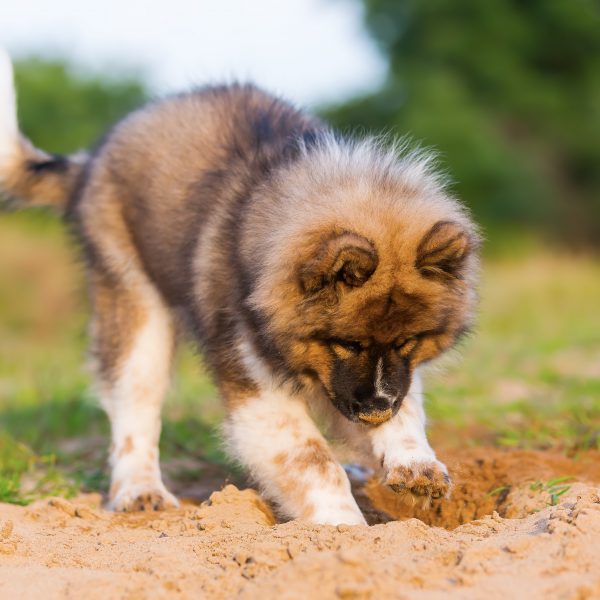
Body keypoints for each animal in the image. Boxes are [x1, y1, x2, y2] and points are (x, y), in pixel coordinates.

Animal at [0, 49, 478, 524]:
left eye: (410, 340)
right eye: (346, 342)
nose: (377, 410)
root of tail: (91, 161)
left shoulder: (375, 380)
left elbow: (407, 407)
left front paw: (415, 464)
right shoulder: (259, 386)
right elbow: (310, 458)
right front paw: (343, 529)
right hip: (135, 306)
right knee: (135, 408)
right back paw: (140, 491)